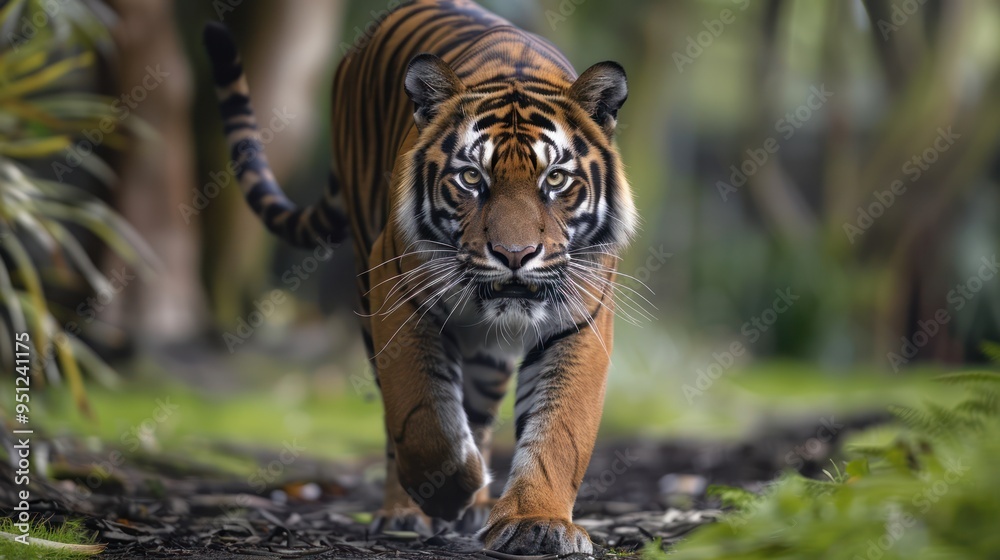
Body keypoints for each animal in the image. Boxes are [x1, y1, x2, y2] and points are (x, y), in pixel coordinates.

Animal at [203, 0, 636, 554]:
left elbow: (560, 430)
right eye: (471, 178)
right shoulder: (399, 297)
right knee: (403, 422)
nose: (515, 255)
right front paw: (447, 491)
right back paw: (408, 513)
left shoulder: (580, 320)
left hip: (487, 355)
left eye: (555, 179)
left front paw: (536, 523)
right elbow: (421, 416)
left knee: (476, 411)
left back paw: (477, 507)